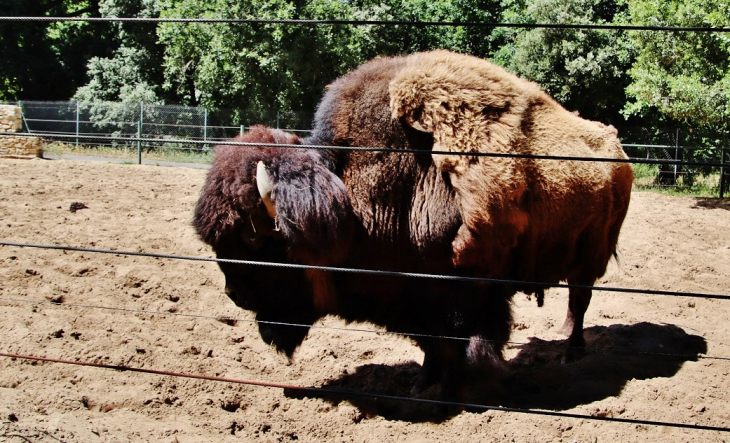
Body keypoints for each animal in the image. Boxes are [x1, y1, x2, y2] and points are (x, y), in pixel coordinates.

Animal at [193, 49, 632, 398]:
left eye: (253, 239)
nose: (234, 295)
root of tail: (618, 152)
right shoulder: (413, 295)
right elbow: (430, 344)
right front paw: (421, 382)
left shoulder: (465, 290)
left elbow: (461, 341)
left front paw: (459, 387)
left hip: (591, 255)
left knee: (580, 299)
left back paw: (571, 353)